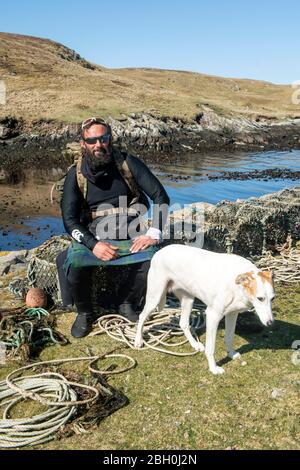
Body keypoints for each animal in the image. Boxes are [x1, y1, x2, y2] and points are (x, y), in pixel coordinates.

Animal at [135, 246, 276, 374]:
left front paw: (231, 354)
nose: (270, 323)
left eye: (273, 298)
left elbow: (229, 338)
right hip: (155, 297)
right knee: (141, 317)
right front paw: (213, 368)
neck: (237, 285)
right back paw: (138, 341)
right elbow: (211, 348)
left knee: (183, 323)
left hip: (188, 300)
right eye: (260, 298)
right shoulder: (213, 316)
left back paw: (194, 344)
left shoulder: (232, 314)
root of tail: (160, 250)